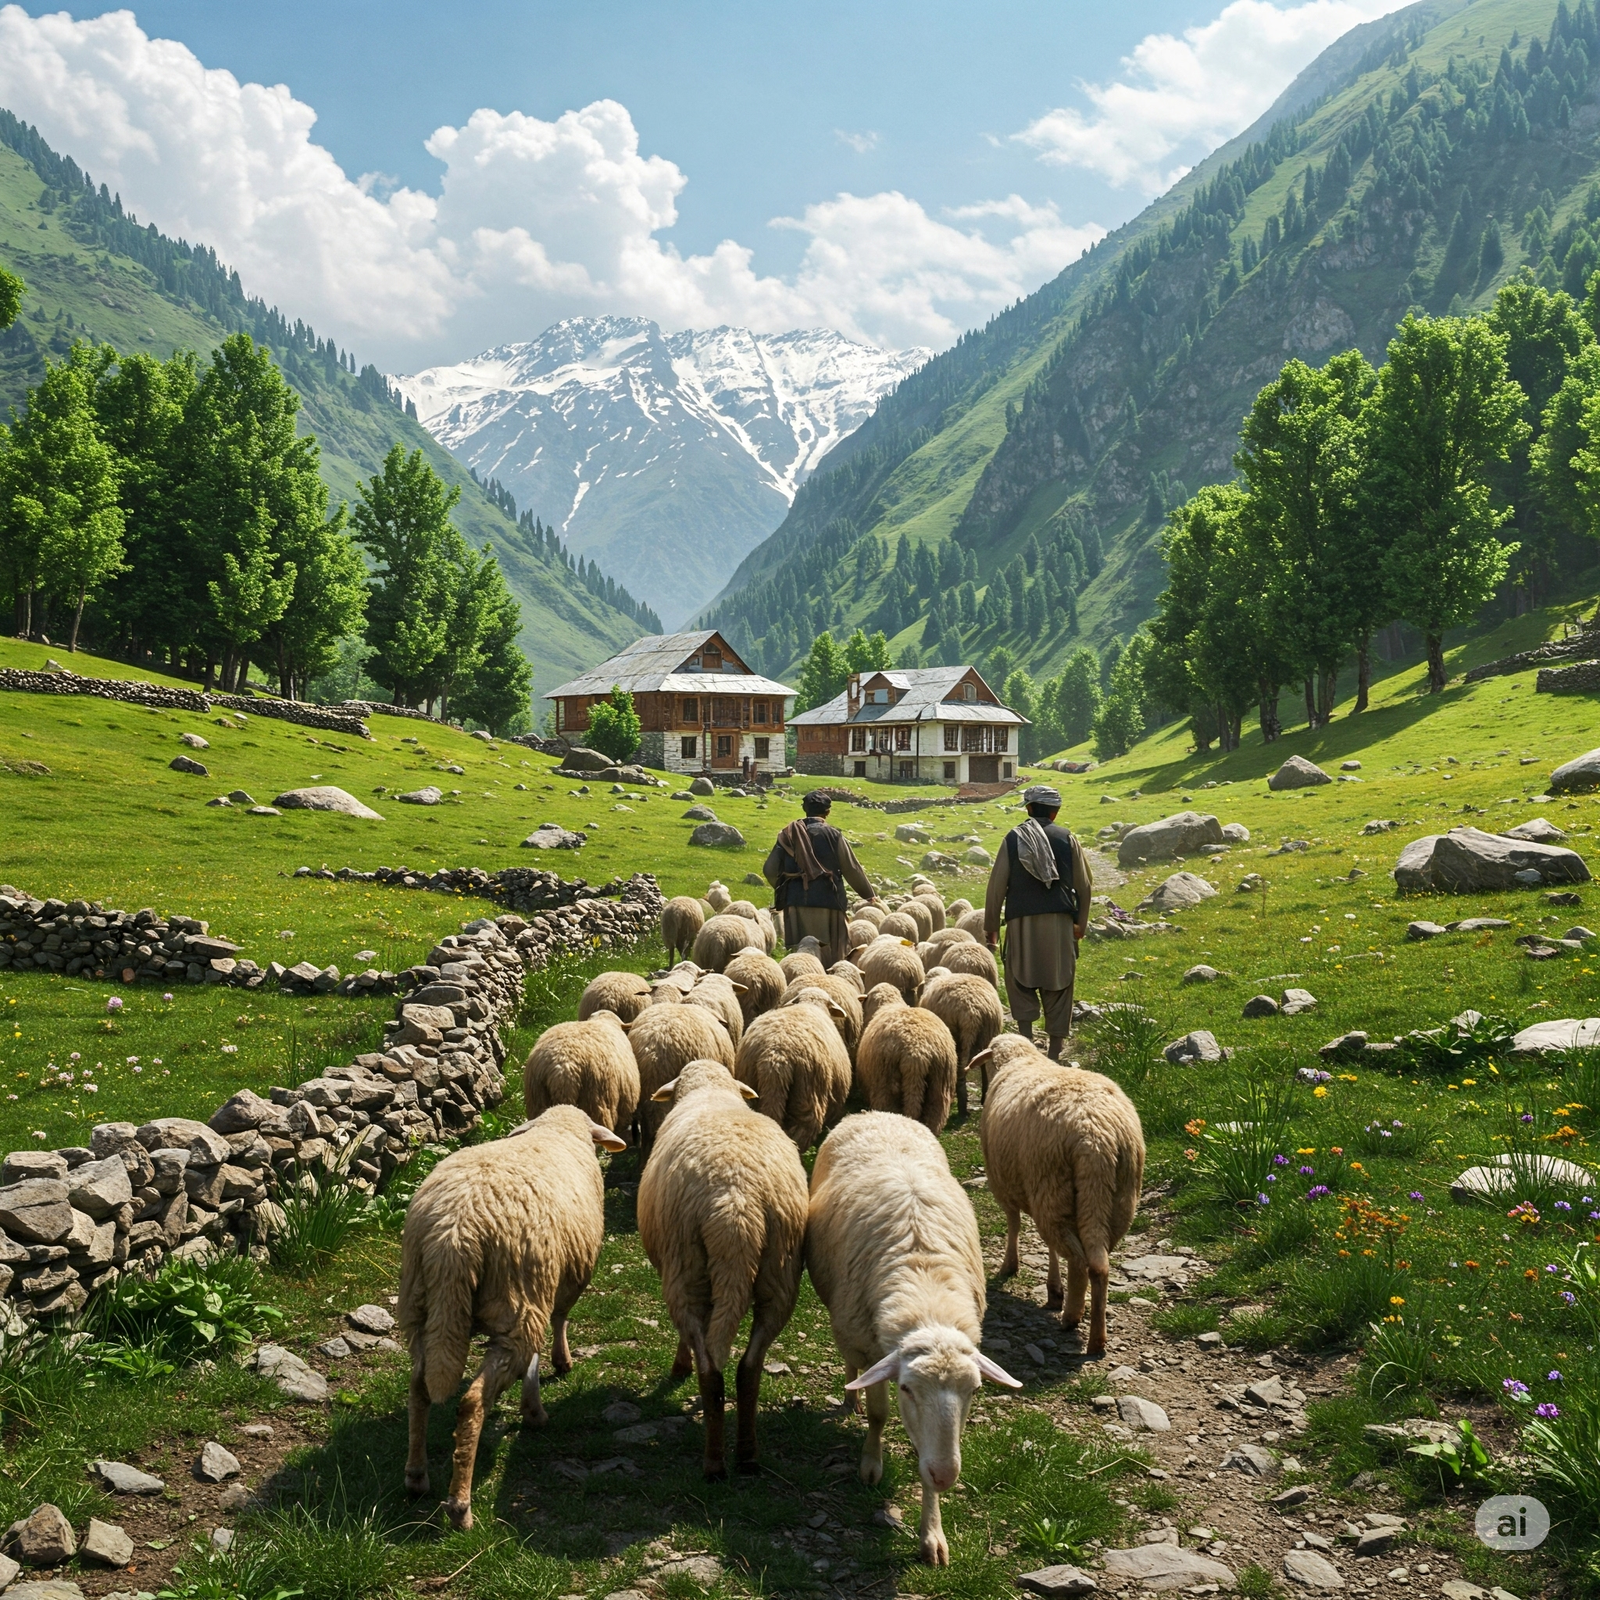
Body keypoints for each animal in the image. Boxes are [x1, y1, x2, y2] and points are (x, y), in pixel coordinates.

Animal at [399, 1105, 626, 1527]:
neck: (556, 1130)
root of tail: (454, 1234)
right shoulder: (558, 1282)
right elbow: (557, 1323)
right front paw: (541, 1397)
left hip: (422, 1306)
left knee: (419, 1388)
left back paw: (417, 1477)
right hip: (516, 1301)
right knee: (474, 1400)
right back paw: (460, 1505)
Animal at [638, 1059, 809, 1478]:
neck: (710, 1089)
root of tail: (736, 1204)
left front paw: (679, 1365)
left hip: (684, 1268)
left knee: (710, 1371)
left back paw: (714, 1463)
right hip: (780, 1273)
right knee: (749, 1368)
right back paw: (747, 1455)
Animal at [805, 1113, 1021, 1566]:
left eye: (975, 1390)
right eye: (906, 1388)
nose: (947, 1474)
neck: (927, 1297)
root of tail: (875, 1113)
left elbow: (925, 1459)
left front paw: (932, 1533)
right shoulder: (872, 1345)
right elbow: (878, 1415)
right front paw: (871, 1463)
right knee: (852, 1365)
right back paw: (850, 1395)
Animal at [919, 970, 1004, 1115]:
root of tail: (971, 1014)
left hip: (955, 1036)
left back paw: (961, 1105)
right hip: (986, 1035)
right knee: (982, 1064)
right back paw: (981, 1097)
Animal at [979, 1055, 1145, 1360]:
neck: (1021, 1059)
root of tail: (1095, 1139)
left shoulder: (1003, 1185)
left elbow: (1014, 1224)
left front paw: (1011, 1267)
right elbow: (1050, 1248)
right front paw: (1054, 1289)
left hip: (1052, 1189)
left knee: (1078, 1260)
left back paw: (1071, 1316)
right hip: (1116, 1197)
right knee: (1098, 1264)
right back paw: (1096, 1338)